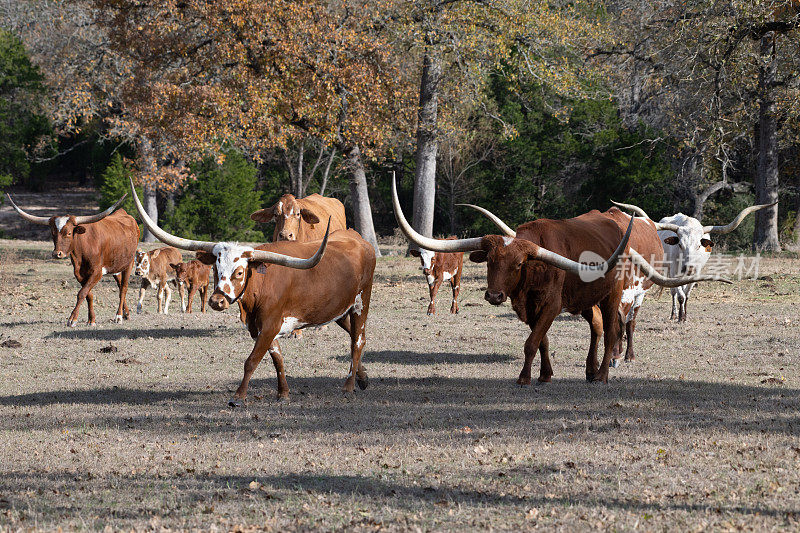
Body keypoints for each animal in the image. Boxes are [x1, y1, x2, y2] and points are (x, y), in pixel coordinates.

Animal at [7, 193, 138, 326]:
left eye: (69, 233)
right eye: (53, 233)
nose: (57, 254)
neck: (82, 252)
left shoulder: (97, 273)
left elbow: (82, 293)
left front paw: (72, 319)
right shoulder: (79, 274)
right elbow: (88, 294)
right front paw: (91, 319)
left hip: (129, 264)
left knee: (123, 288)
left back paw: (119, 316)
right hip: (115, 266)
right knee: (119, 285)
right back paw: (126, 314)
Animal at [130, 178, 376, 404]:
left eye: (240, 272)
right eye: (216, 268)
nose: (217, 301)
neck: (260, 287)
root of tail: (358, 239)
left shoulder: (270, 324)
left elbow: (251, 360)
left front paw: (239, 395)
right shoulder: (259, 327)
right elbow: (277, 359)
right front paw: (283, 393)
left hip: (361, 301)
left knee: (358, 340)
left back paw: (349, 385)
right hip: (339, 307)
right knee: (353, 335)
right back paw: (362, 378)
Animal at [394, 178, 724, 382]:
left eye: (518, 264)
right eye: (490, 261)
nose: (494, 296)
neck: (534, 273)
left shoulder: (551, 305)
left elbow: (531, 343)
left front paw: (525, 378)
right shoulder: (530, 309)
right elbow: (541, 341)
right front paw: (545, 374)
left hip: (614, 296)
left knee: (614, 330)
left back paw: (603, 374)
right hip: (587, 300)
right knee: (597, 329)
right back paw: (590, 370)